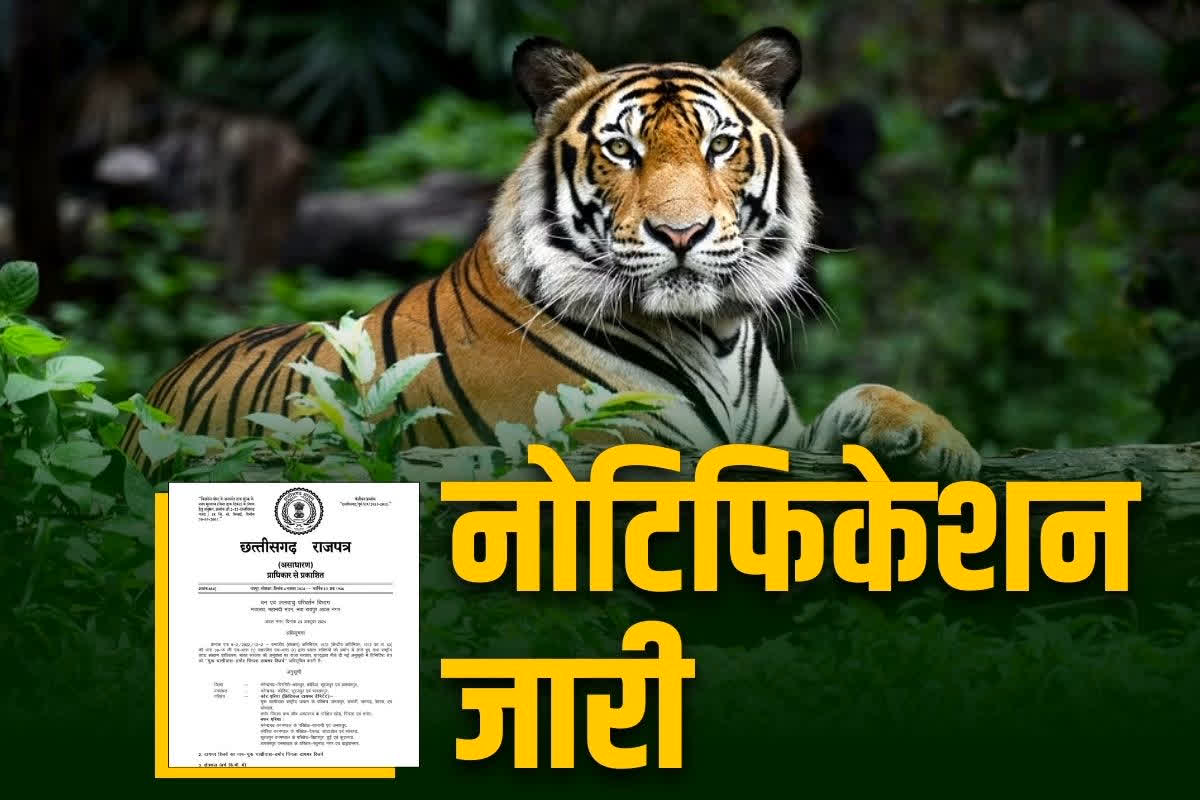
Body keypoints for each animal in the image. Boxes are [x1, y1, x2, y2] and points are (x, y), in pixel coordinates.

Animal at [123, 27, 980, 479]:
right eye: (622, 150)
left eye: (720, 146)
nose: (681, 233)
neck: (714, 337)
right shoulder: (597, 448)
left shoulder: (779, 436)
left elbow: (866, 393)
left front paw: (941, 444)